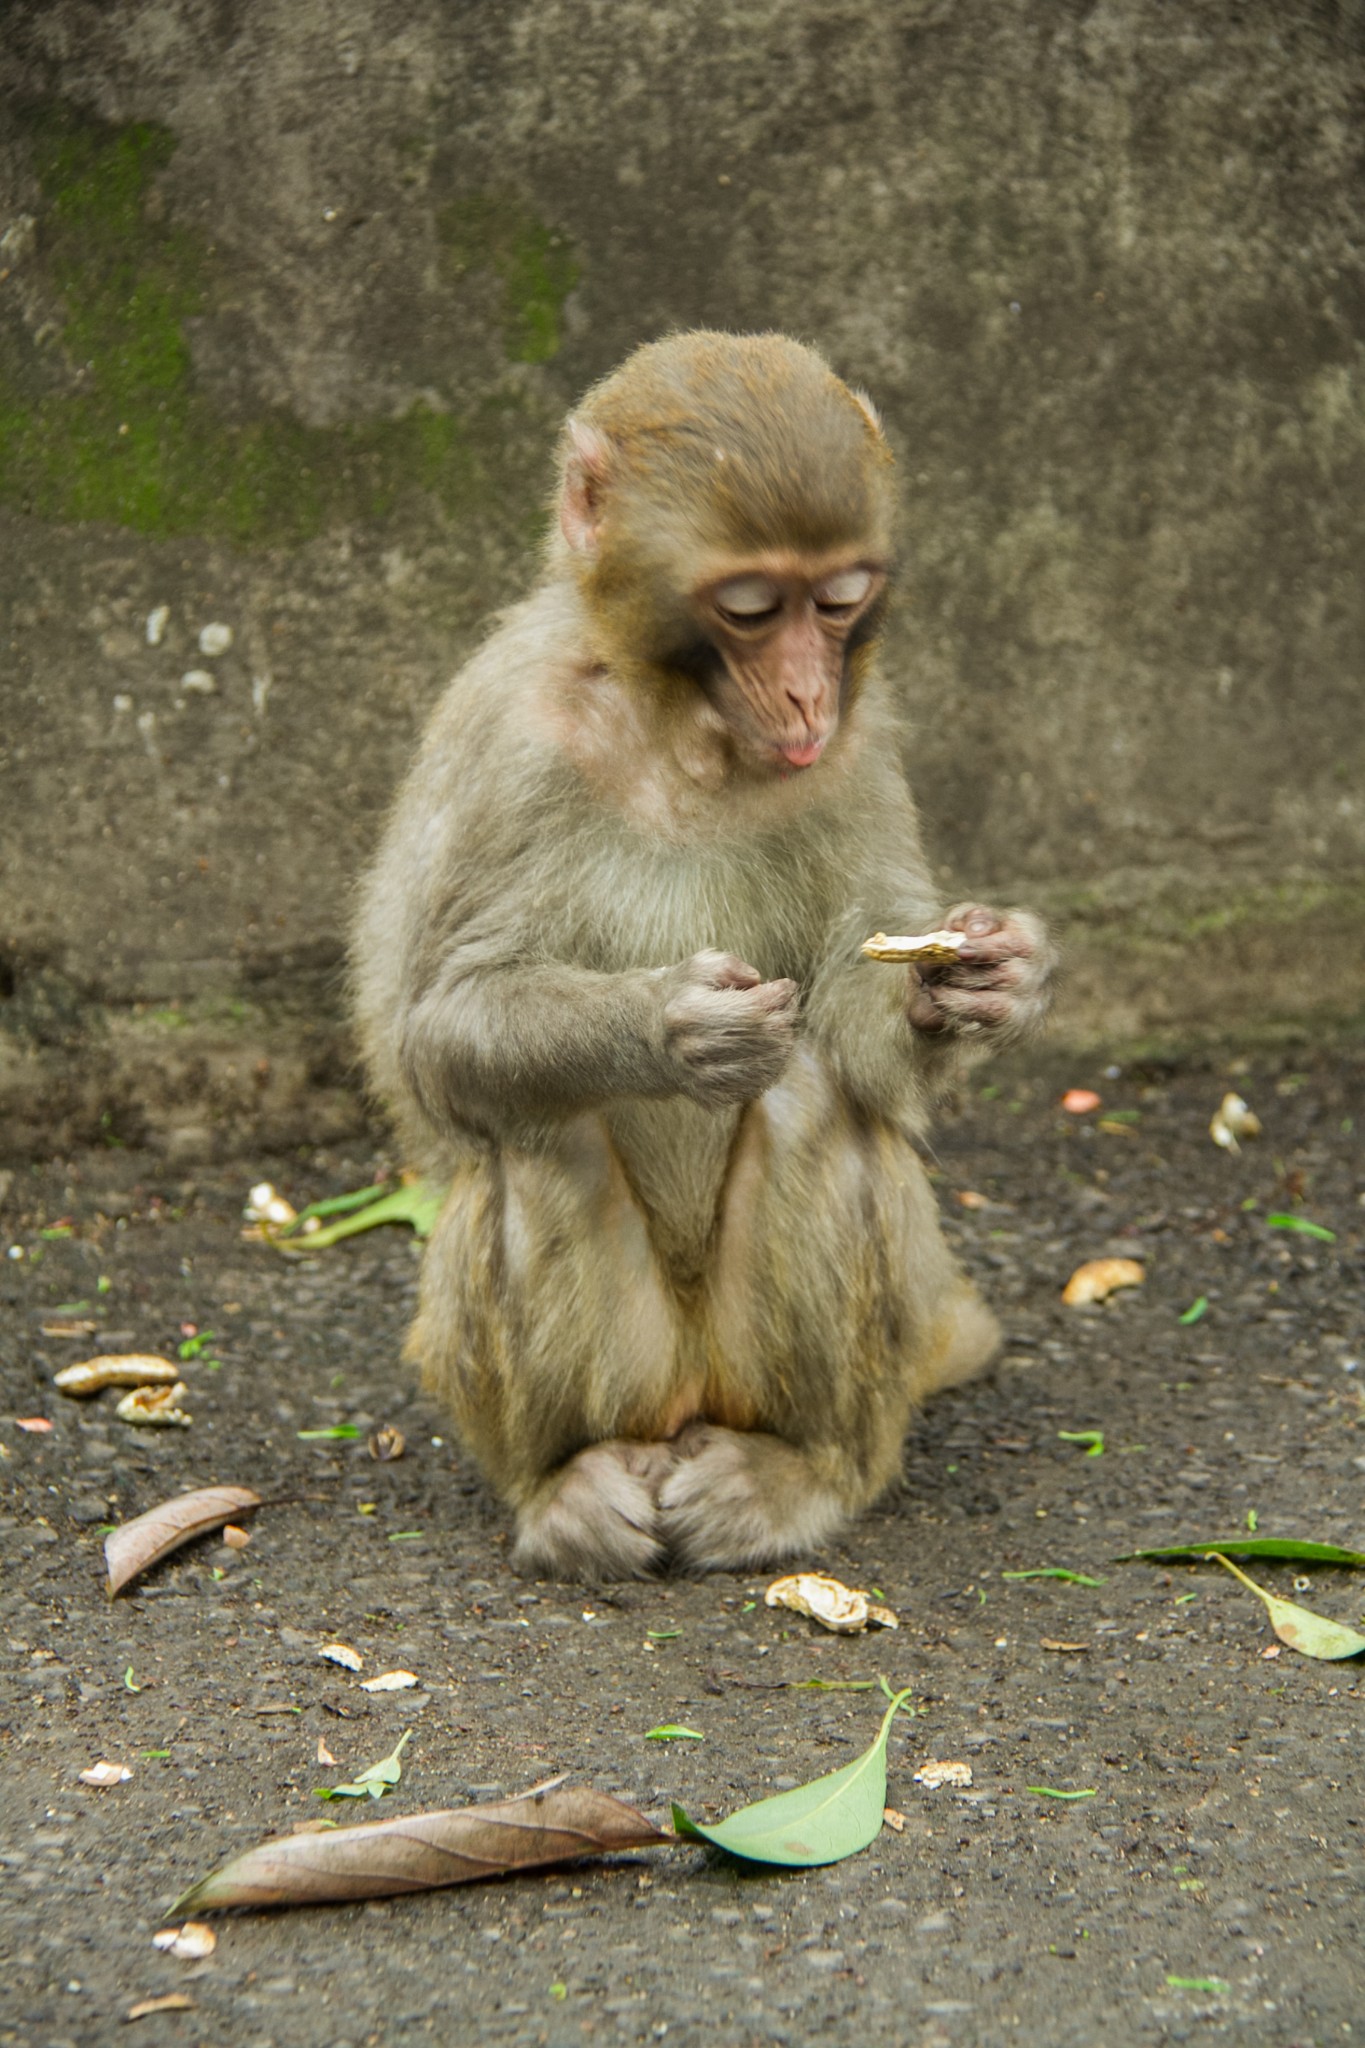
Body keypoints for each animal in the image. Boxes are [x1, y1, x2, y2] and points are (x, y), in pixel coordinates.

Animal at [356, 331, 1055, 1581]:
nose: (808, 689)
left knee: (813, 1098)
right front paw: (669, 1026)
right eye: (749, 606)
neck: (684, 728)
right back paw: (563, 1485)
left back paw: (804, 1472)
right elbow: (439, 1029)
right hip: (607, 1374)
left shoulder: (861, 744)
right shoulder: (507, 735)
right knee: (543, 1131)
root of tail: (687, 1395)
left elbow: (865, 1045)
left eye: (839, 600)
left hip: (773, 1371)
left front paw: (985, 982)